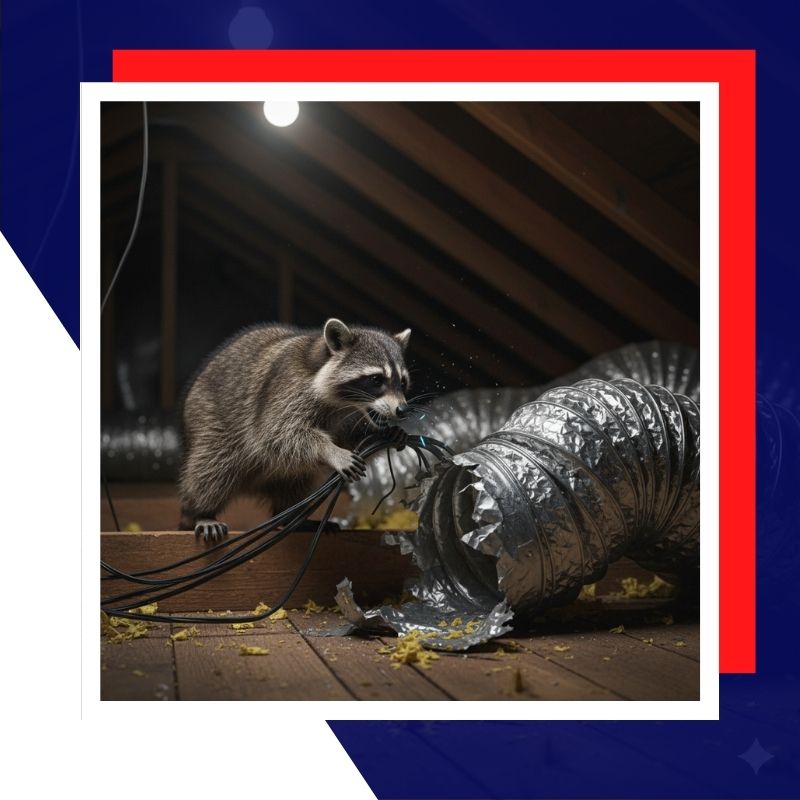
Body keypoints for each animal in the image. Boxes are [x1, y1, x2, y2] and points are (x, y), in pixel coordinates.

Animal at [178, 318, 412, 540]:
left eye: (402, 382)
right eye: (376, 379)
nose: (402, 410)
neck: (347, 406)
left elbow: (352, 438)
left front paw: (384, 433)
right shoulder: (288, 390)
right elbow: (277, 435)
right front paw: (330, 450)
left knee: (296, 479)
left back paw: (292, 516)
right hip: (209, 419)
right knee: (212, 467)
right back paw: (200, 511)